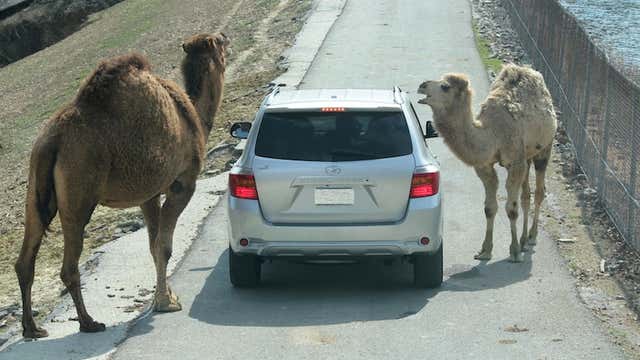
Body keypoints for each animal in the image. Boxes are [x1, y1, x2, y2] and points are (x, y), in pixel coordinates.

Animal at [15, 31, 231, 338]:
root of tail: (53, 140)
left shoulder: (148, 194)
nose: (226, 36)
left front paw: (166, 296)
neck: (196, 120)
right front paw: (166, 303)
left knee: (26, 259)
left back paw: (33, 329)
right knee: (69, 265)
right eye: (219, 42)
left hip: (35, 187)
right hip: (79, 190)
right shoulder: (182, 182)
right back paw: (89, 322)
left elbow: (153, 244)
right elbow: (164, 245)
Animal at [418, 64, 556, 262]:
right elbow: (489, 208)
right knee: (526, 195)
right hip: (527, 155)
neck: (492, 134)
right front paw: (485, 250)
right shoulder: (485, 166)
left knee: (539, 191)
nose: (421, 86)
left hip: (545, 147)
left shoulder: (515, 161)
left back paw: (531, 237)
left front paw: (514, 251)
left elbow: (511, 209)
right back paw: (523, 239)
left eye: (445, 86)